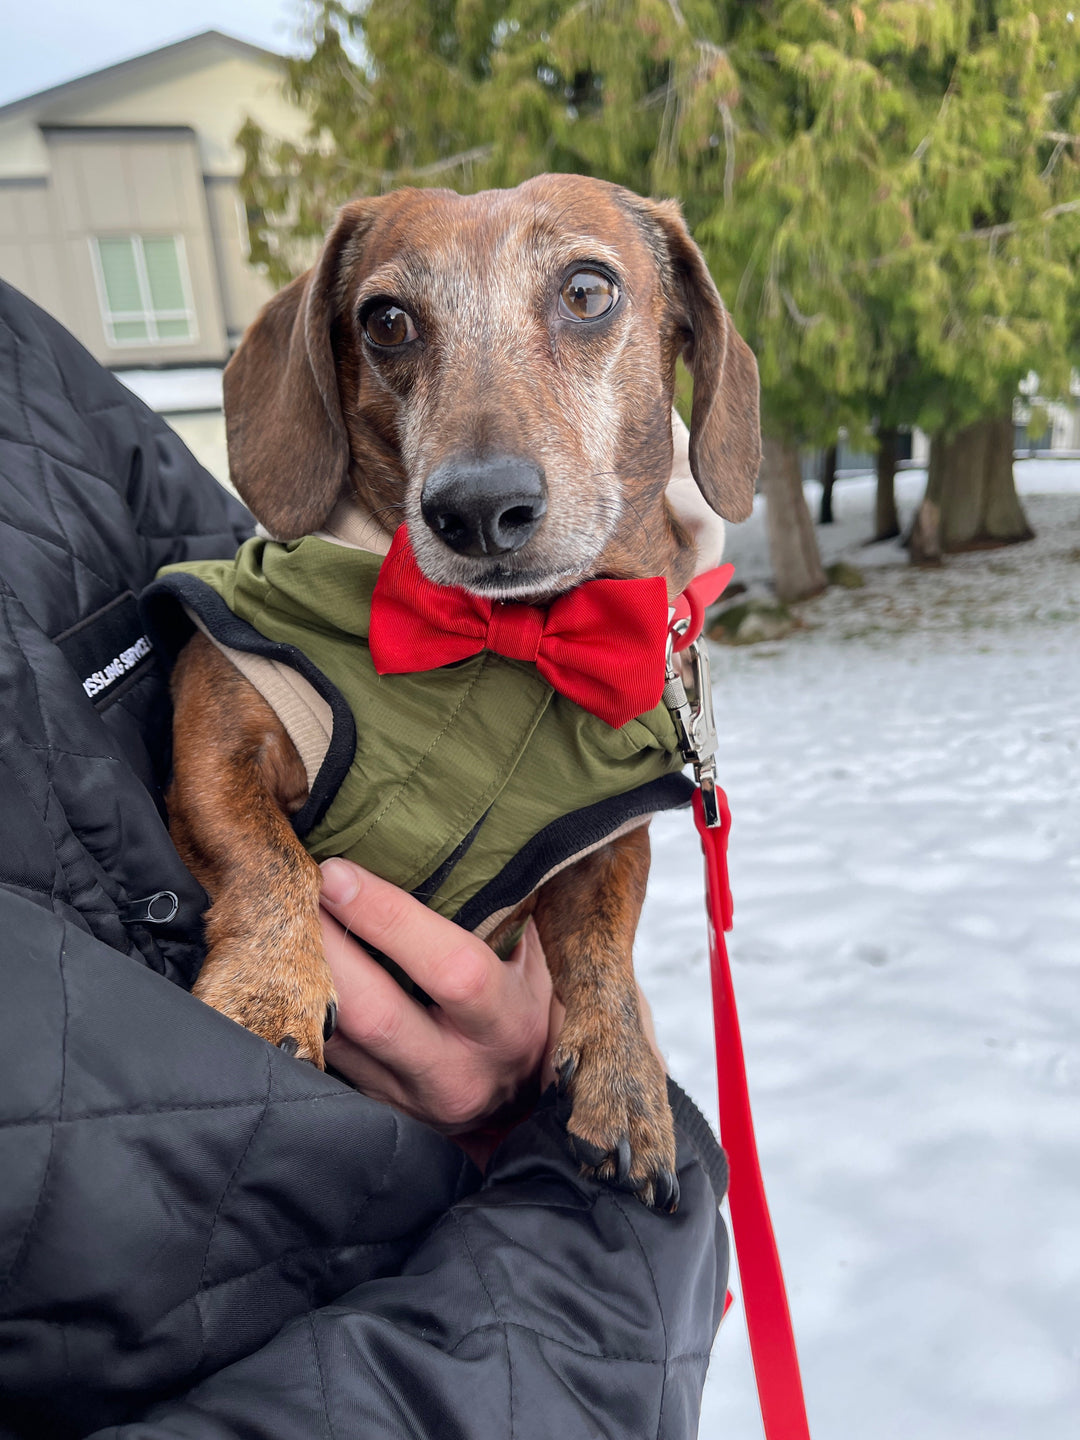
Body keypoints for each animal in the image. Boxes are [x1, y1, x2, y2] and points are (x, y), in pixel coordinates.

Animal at [169, 174, 760, 1209]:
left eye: (587, 290)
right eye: (386, 321)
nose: (477, 508)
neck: (514, 634)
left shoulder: (605, 842)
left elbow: (605, 955)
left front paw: (628, 1084)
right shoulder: (215, 732)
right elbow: (268, 864)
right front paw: (268, 992)